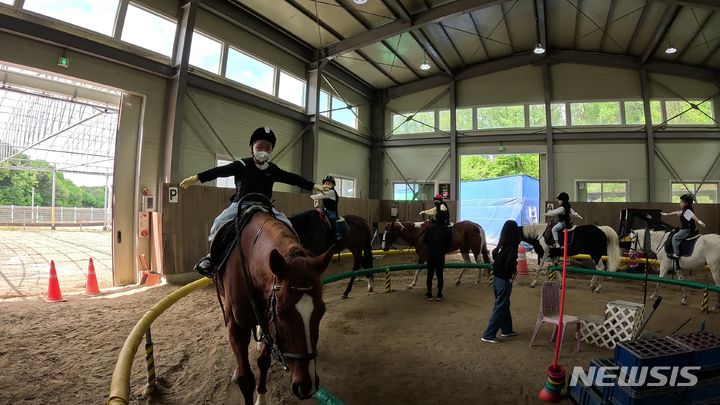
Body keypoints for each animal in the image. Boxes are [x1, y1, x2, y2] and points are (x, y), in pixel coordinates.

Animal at [219, 210, 334, 402]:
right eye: (281, 313)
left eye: (321, 312)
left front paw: (261, 398)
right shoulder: (238, 327)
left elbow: (263, 362)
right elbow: (246, 378)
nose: (306, 387)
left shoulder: (268, 322)